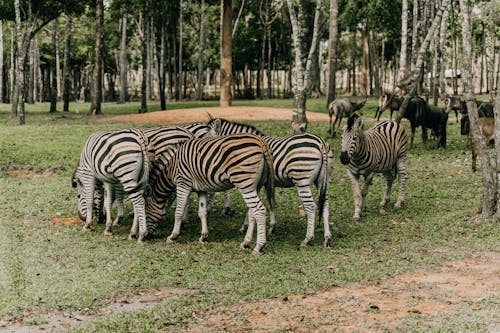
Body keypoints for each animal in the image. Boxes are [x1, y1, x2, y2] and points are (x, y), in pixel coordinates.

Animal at [145, 132, 276, 254]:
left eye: (146, 213)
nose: (145, 237)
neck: (171, 168)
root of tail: (260, 141)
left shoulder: (183, 183)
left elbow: (179, 212)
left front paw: (173, 236)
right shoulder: (201, 189)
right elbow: (202, 212)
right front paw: (203, 237)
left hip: (244, 182)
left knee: (259, 210)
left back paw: (259, 247)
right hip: (256, 186)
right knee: (252, 213)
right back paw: (246, 243)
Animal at [205, 116, 334, 246]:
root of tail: (321, 143)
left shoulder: (254, 182)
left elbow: (256, 205)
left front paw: (245, 227)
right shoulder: (268, 184)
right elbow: (271, 203)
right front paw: (272, 227)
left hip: (302, 180)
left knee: (311, 207)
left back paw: (307, 239)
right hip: (324, 181)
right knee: (325, 204)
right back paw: (327, 238)